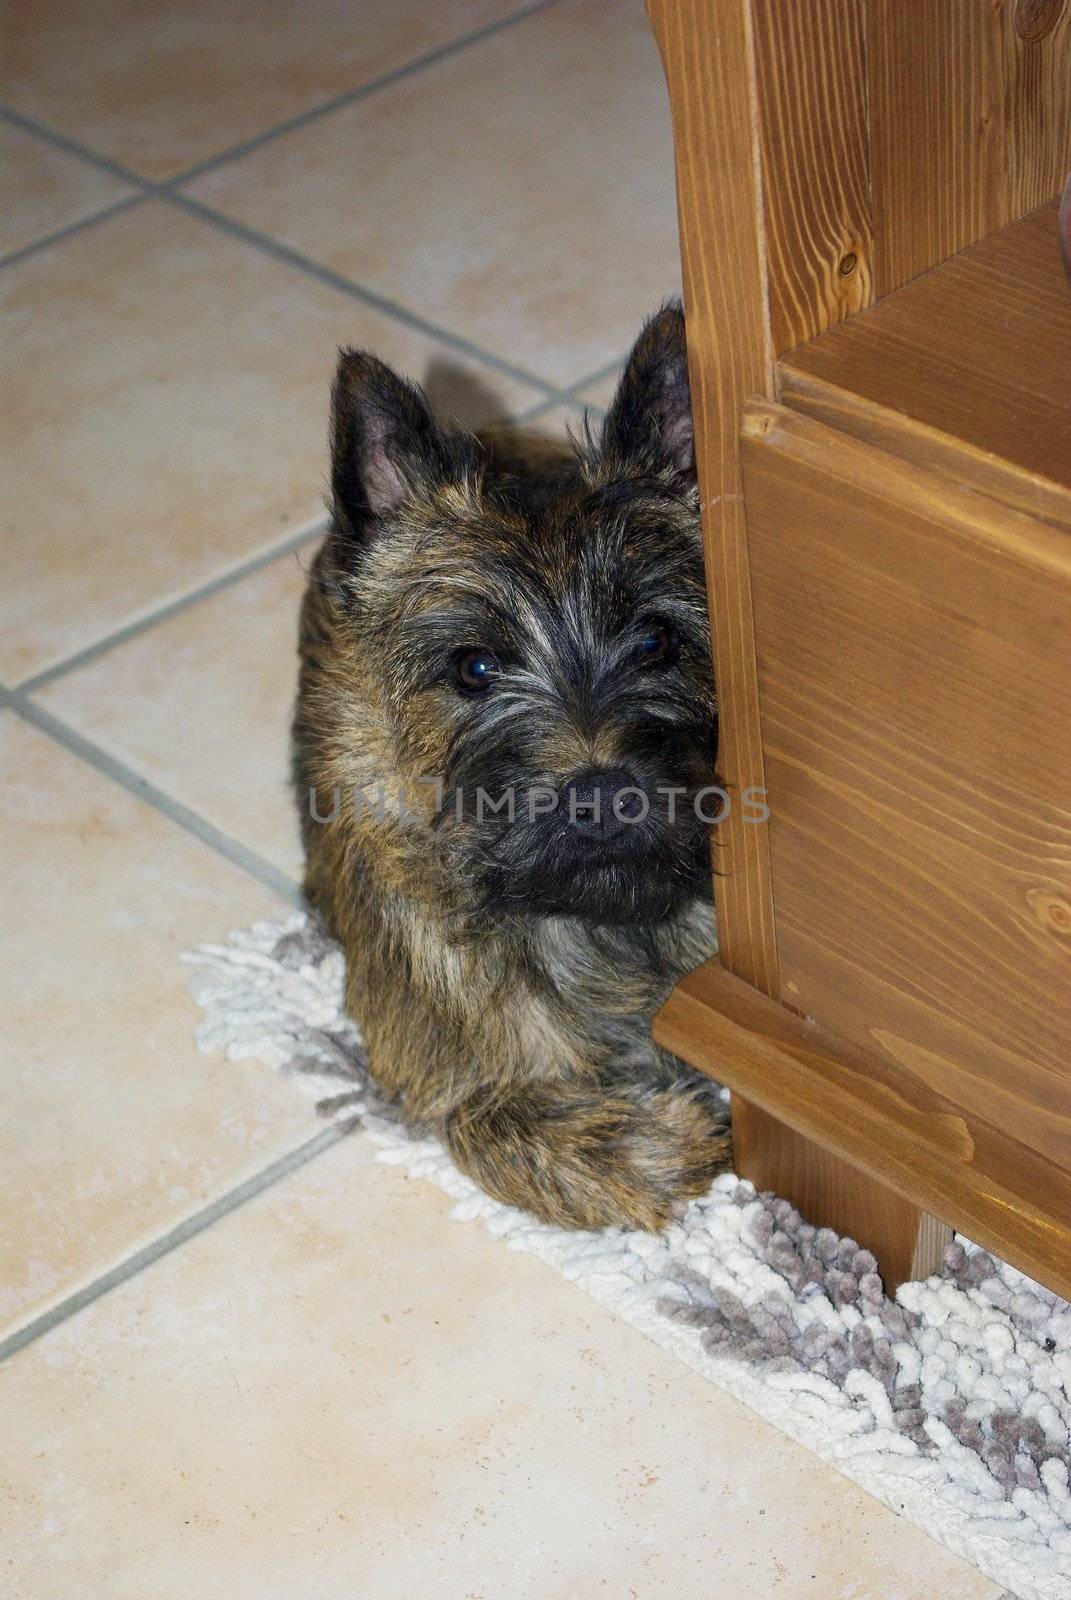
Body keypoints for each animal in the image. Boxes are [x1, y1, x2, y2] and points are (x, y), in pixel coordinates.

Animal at [288, 302, 730, 1222]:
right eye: (473, 666)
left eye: (655, 638)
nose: (603, 797)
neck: (596, 930)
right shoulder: (445, 1077)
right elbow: (500, 1127)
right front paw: (667, 1136)